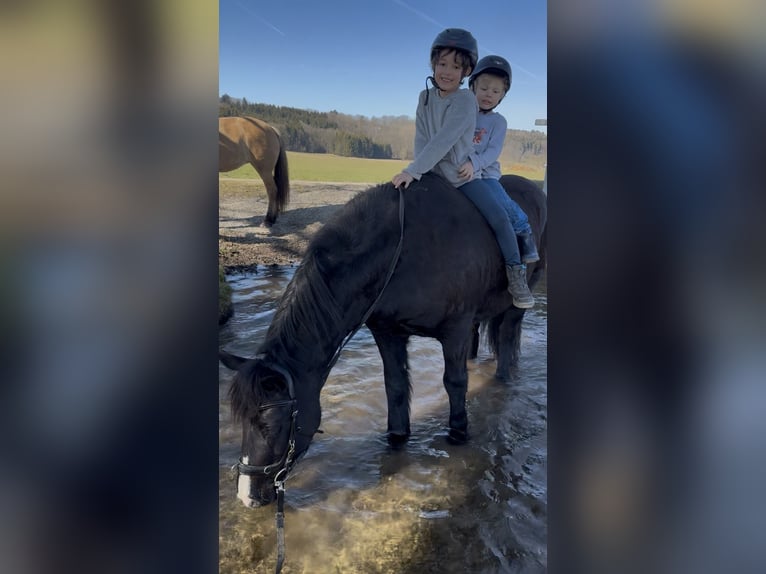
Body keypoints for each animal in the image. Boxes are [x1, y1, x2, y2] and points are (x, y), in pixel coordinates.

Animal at [219, 173, 547, 507]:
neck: (399, 251)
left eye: (272, 423)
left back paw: (504, 378)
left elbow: (454, 382)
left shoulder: (454, 330)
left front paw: (458, 432)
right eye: (242, 420)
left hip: (517, 303)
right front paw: (397, 436)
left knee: (507, 341)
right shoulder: (388, 333)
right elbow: (395, 386)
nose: (247, 495)